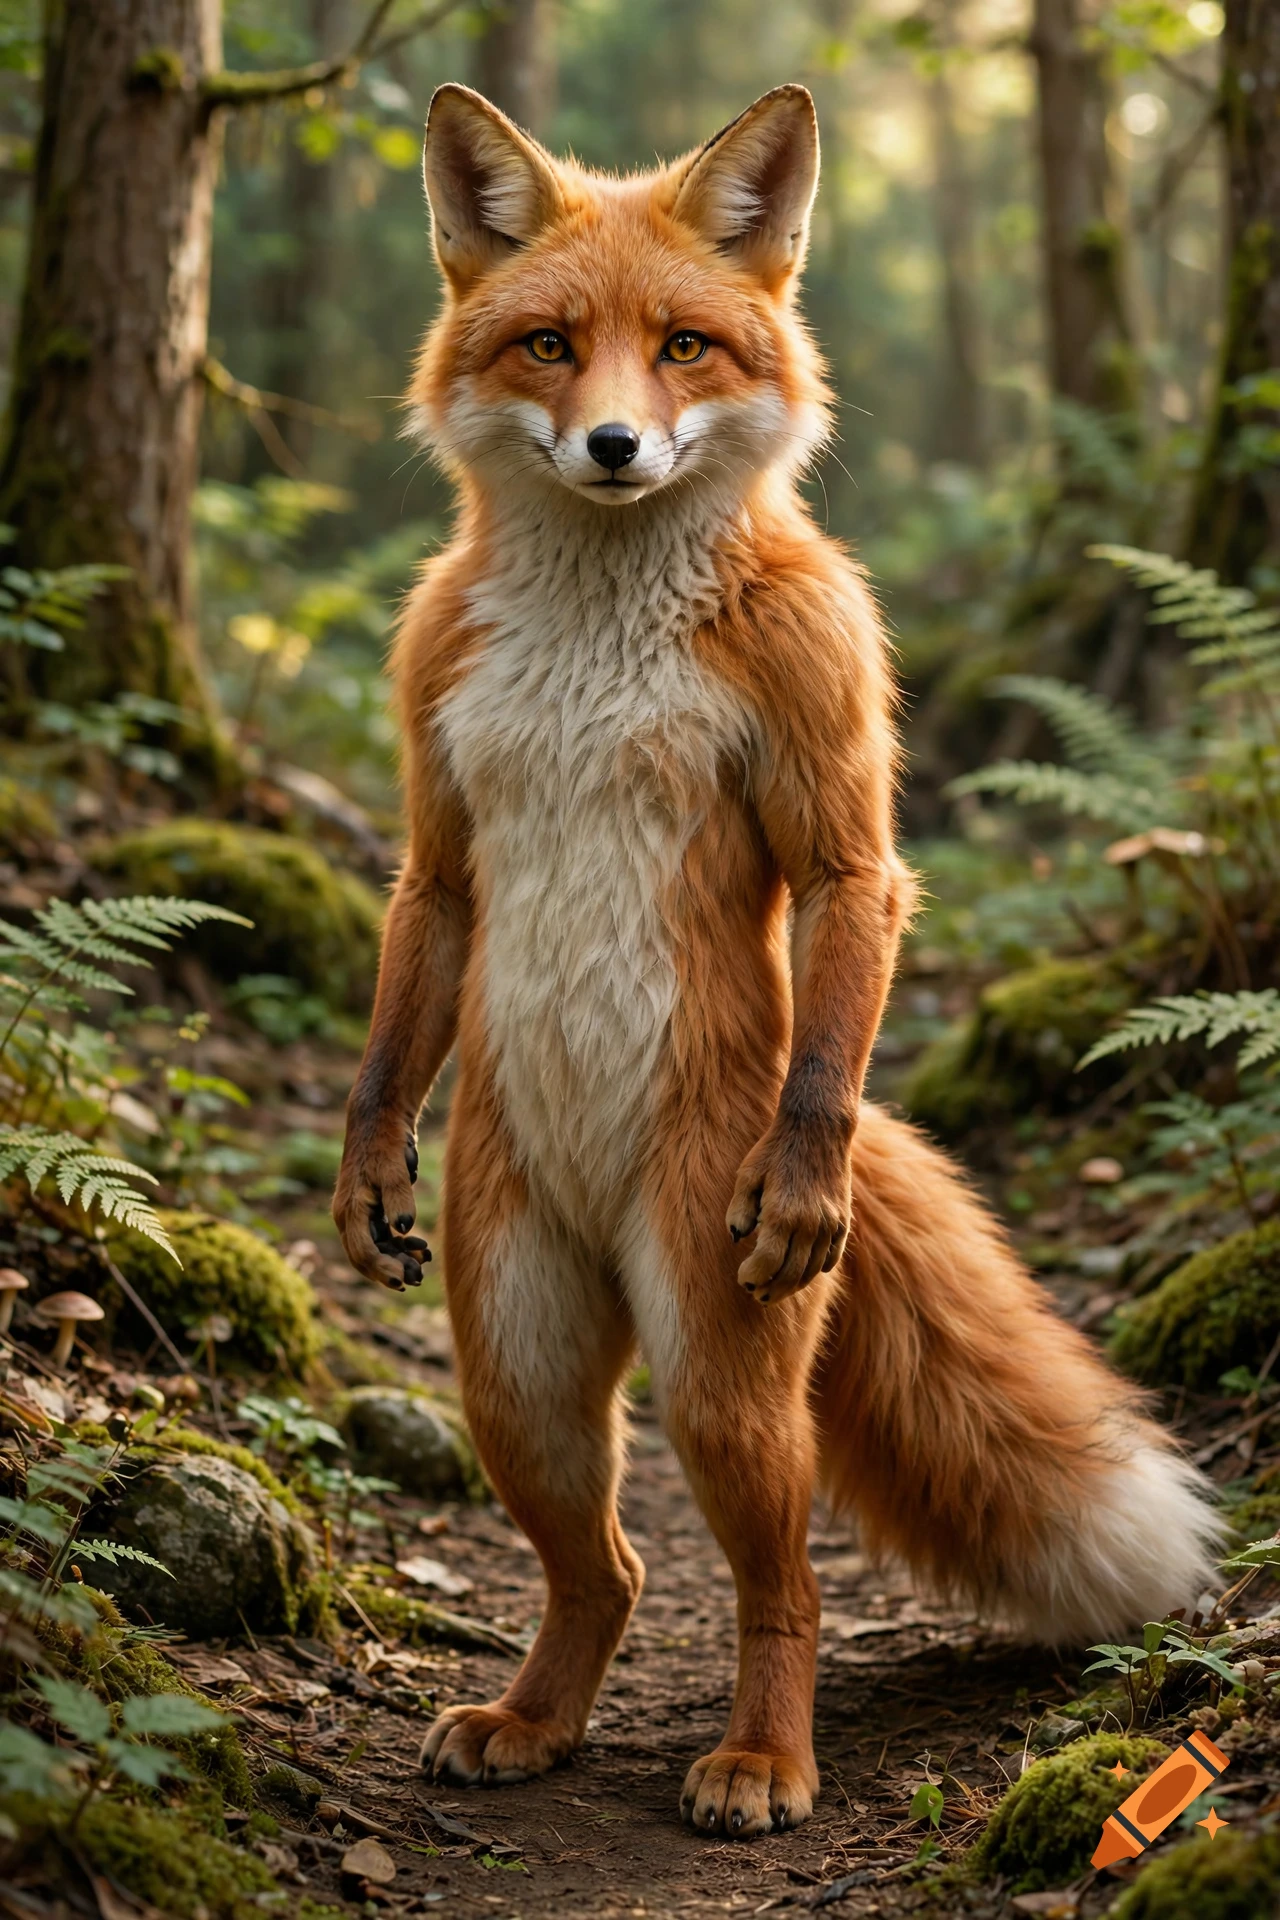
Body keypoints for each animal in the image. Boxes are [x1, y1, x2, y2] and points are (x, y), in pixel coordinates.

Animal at [333, 81, 1222, 1838]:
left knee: (779, 1584)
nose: (613, 447)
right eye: (551, 346)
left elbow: (845, 875)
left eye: (683, 348)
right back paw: (536, 1719)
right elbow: (416, 961)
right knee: (603, 1568)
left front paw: (801, 1181)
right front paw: (365, 1162)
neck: (599, 638)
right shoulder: (439, 817)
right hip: (518, 1363)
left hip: (717, 1366)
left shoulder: (834, 754)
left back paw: (765, 1758)